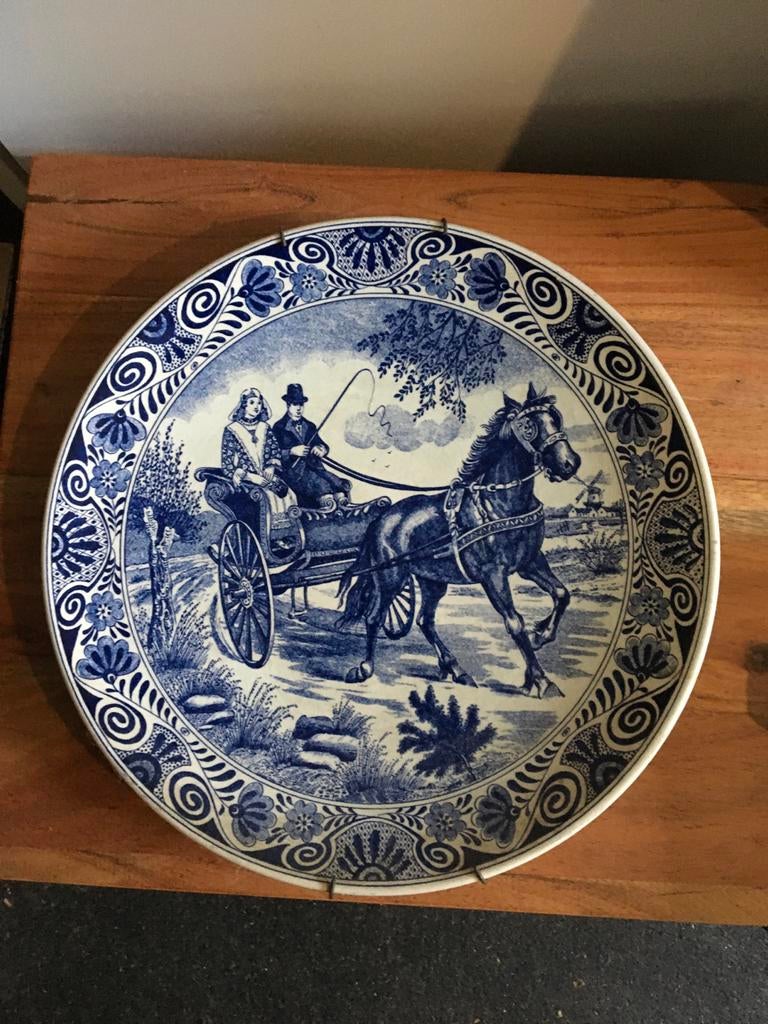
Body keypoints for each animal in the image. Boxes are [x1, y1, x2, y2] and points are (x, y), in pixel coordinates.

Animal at [337, 382, 581, 697]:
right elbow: (514, 623)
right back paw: (365, 667)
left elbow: (562, 594)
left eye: (556, 418)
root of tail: (381, 519)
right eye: (528, 426)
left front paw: (540, 636)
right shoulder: (493, 575)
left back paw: (456, 669)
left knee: (425, 621)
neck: (499, 505)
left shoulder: (530, 563)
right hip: (391, 577)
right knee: (375, 616)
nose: (569, 464)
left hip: (432, 581)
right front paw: (541, 680)